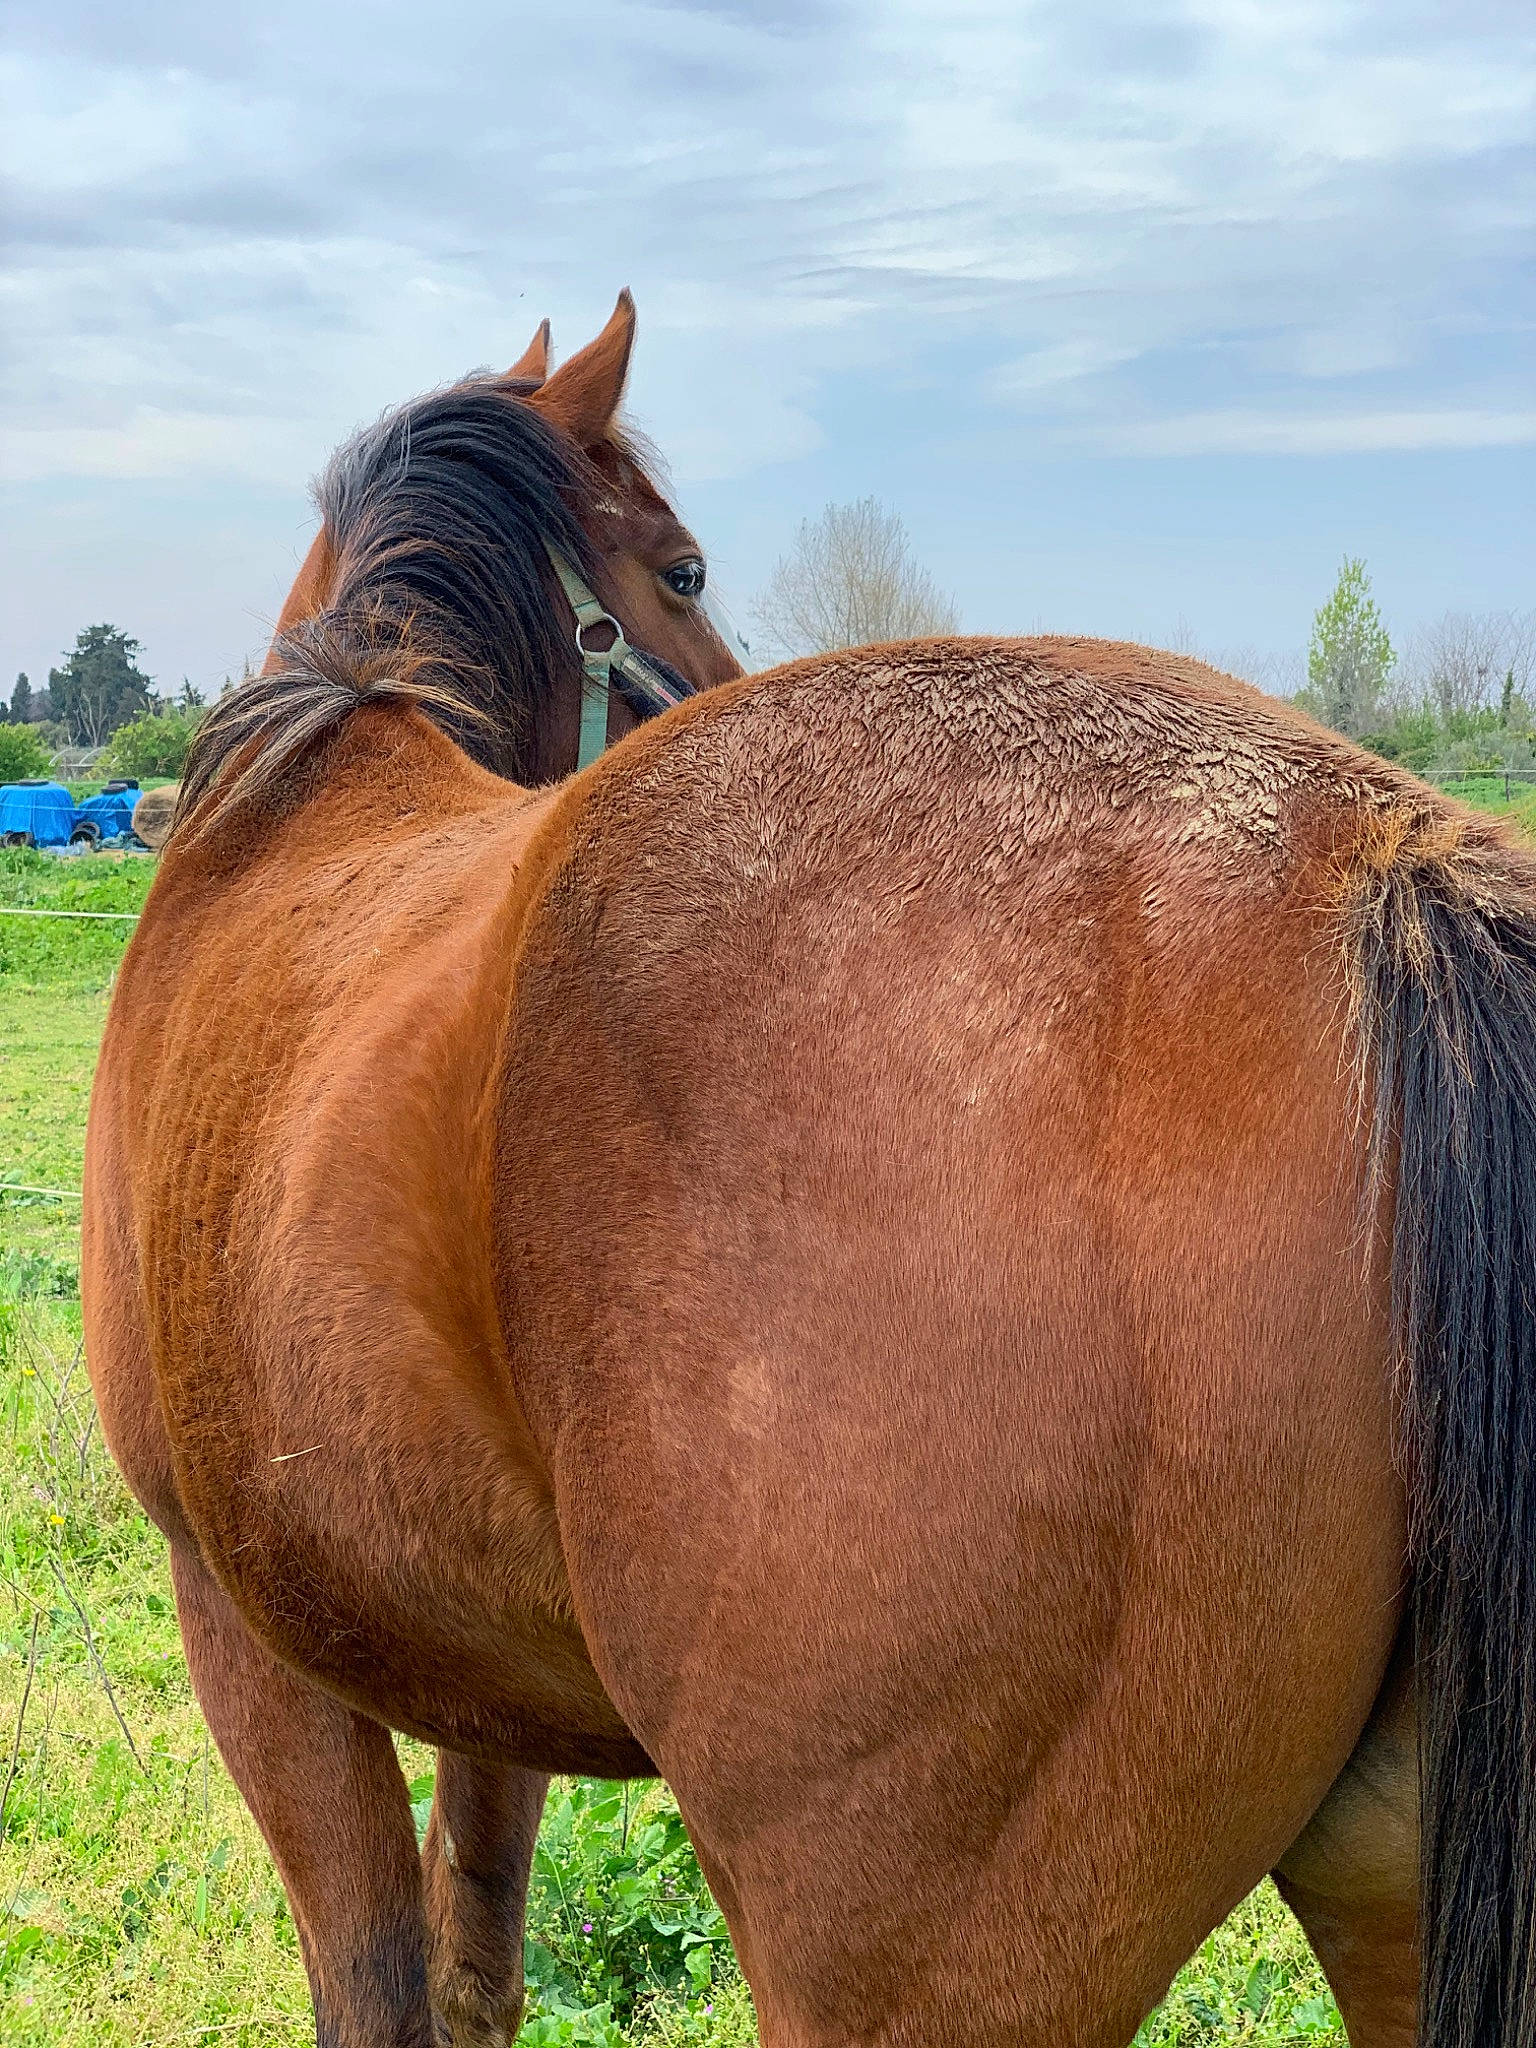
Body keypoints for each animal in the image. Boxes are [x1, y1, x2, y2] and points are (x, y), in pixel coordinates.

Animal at [84, 304, 1536, 2048]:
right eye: (686, 569)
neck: (289, 804)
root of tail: (1373, 859)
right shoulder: (466, 1689)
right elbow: (473, 1959)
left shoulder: (248, 1643)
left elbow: (379, 1986)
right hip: (1388, 1881)